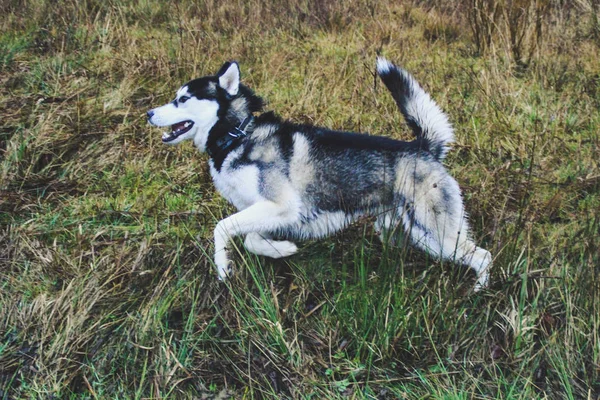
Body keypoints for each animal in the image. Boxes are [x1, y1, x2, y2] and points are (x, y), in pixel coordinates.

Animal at [146, 57, 492, 290]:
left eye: (182, 99)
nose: (148, 113)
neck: (237, 136)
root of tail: (422, 147)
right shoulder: (266, 212)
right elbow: (252, 239)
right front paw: (280, 249)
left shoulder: (282, 206)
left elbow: (221, 228)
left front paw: (222, 268)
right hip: (419, 235)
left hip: (438, 235)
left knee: (484, 256)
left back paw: (478, 292)